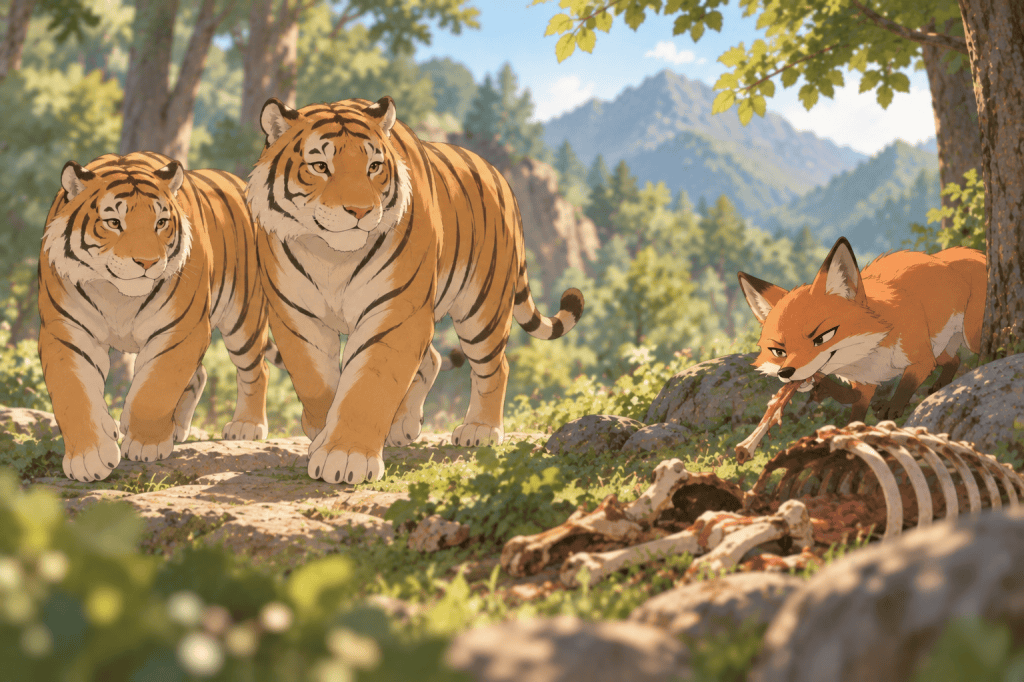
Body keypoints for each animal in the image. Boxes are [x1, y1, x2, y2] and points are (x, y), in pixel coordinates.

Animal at [38, 152, 274, 482]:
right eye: (114, 222)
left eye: (161, 223)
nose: (148, 262)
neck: (117, 295)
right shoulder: (65, 331)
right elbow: (74, 393)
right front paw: (88, 458)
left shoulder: (181, 329)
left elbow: (156, 389)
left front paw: (144, 444)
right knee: (200, 373)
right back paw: (174, 429)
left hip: (244, 317)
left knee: (257, 369)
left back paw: (246, 426)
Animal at [247, 95, 585, 484]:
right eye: (320, 166)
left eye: (374, 166)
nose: (361, 211)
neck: (331, 255)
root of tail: (499, 175)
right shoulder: (296, 314)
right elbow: (315, 382)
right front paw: (322, 437)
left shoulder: (395, 309)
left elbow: (369, 384)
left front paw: (345, 456)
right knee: (433, 358)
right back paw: (402, 425)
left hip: (482, 306)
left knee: (494, 367)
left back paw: (480, 430)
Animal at [737, 236, 987, 424]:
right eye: (779, 352)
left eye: (822, 338)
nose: (786, 373)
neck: (867, 356)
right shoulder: (865, 382)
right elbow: (853, 404)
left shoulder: (920, 358)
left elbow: (906, 383)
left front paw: (892, 406)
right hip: (940, 348)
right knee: (954, 360)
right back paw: (941, 385)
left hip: (968, 337)